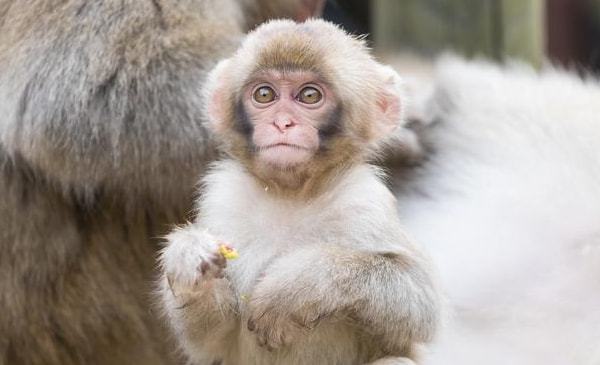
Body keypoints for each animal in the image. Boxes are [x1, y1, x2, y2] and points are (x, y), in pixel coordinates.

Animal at [158, 19, 440, 364]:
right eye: (265, 94)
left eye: (309, 95)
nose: (282, 123)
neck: (291, 193)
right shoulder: (223, 199)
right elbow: (209, 339)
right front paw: (189, 257)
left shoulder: (364, 201)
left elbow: (420, 304)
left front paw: (297, 284)